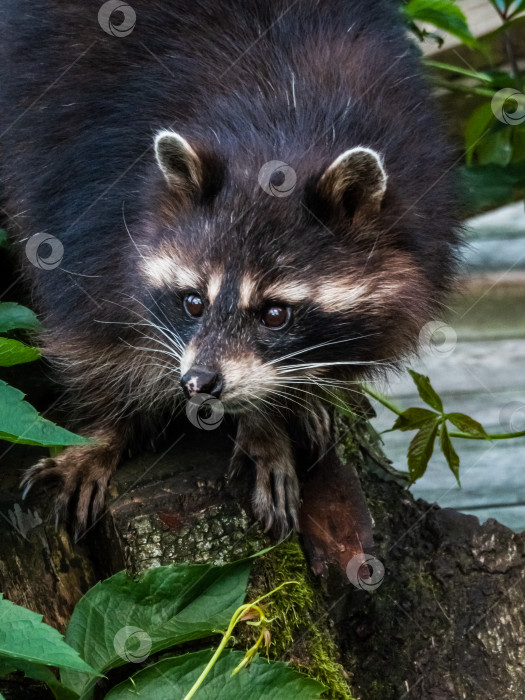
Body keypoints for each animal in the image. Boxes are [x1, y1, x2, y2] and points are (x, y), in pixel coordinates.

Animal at [0, 0, 458, 540]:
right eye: (194, 302)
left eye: (275, 314)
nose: (198, 383)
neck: (279, 134)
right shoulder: (83, 187)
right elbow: (88, 328)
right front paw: (100, 430)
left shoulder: (421, 188)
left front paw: (269, 420)